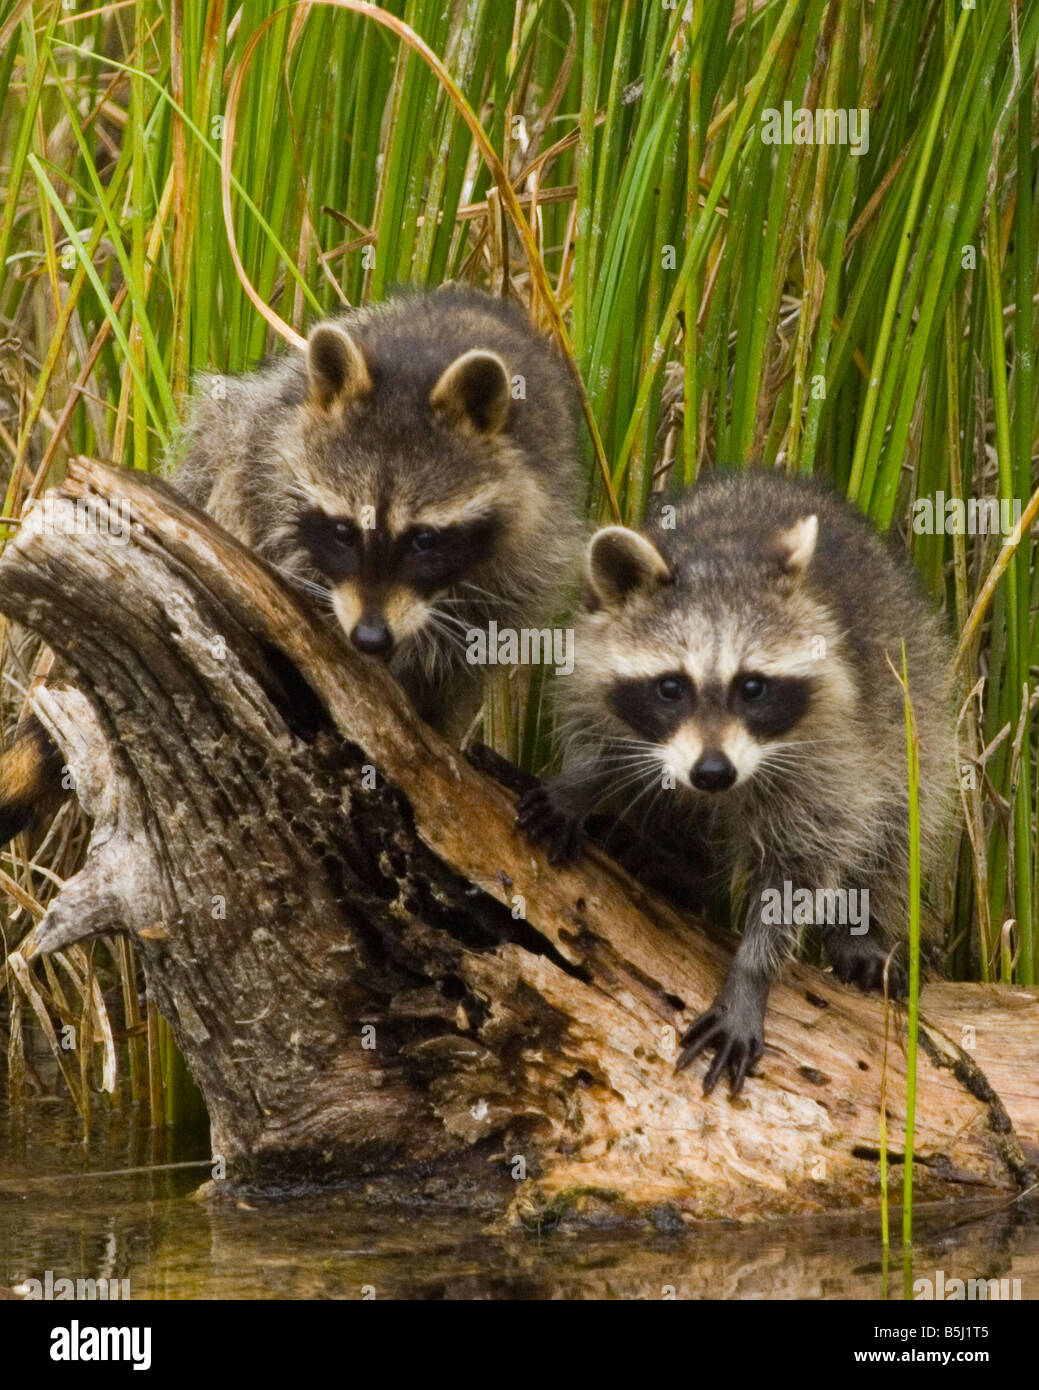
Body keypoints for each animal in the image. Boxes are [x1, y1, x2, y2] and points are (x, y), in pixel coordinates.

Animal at [0, 286, 581, 846]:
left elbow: (467, 652)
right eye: (344, 530)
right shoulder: (271, 453)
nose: (370, 638)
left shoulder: (531, 542)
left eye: (423, 540)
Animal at [517, 470, 955, 1097]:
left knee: (899, 818)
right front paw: (578, 785)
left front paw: (750, 976)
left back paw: (863, 920)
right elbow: (597, 732)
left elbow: (803, 865)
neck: (722, 555)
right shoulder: (591, 654)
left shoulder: (829, 749)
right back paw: (681, 863)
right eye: (671, 687)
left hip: (915, 694)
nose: (713, 773)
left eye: (752, 687)